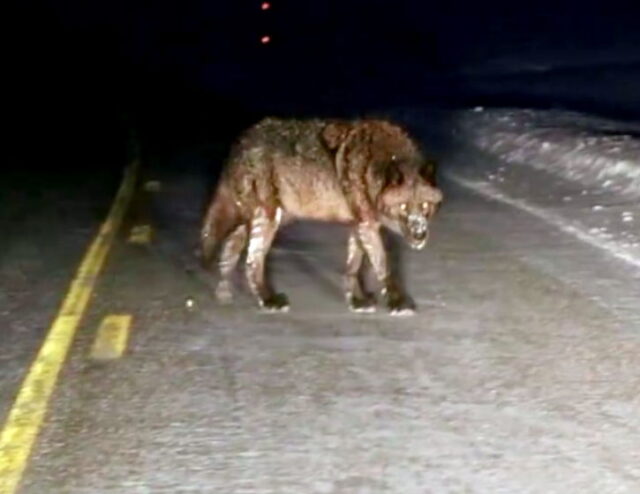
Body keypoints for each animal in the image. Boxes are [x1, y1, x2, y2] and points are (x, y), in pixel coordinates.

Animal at [202, 117, 442, 314]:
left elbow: (353, 267)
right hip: (268, 218)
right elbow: (384, 267)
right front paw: (398, 303)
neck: (374, 163)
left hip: (268, 217)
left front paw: (357, 301)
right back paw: (268, 300)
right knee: (252, 261)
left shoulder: (360, 224)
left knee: (231, 246)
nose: (420, 234)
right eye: (403, 206)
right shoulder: (367, 226)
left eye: (425, 205)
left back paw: (224, 292)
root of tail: (241, 141)